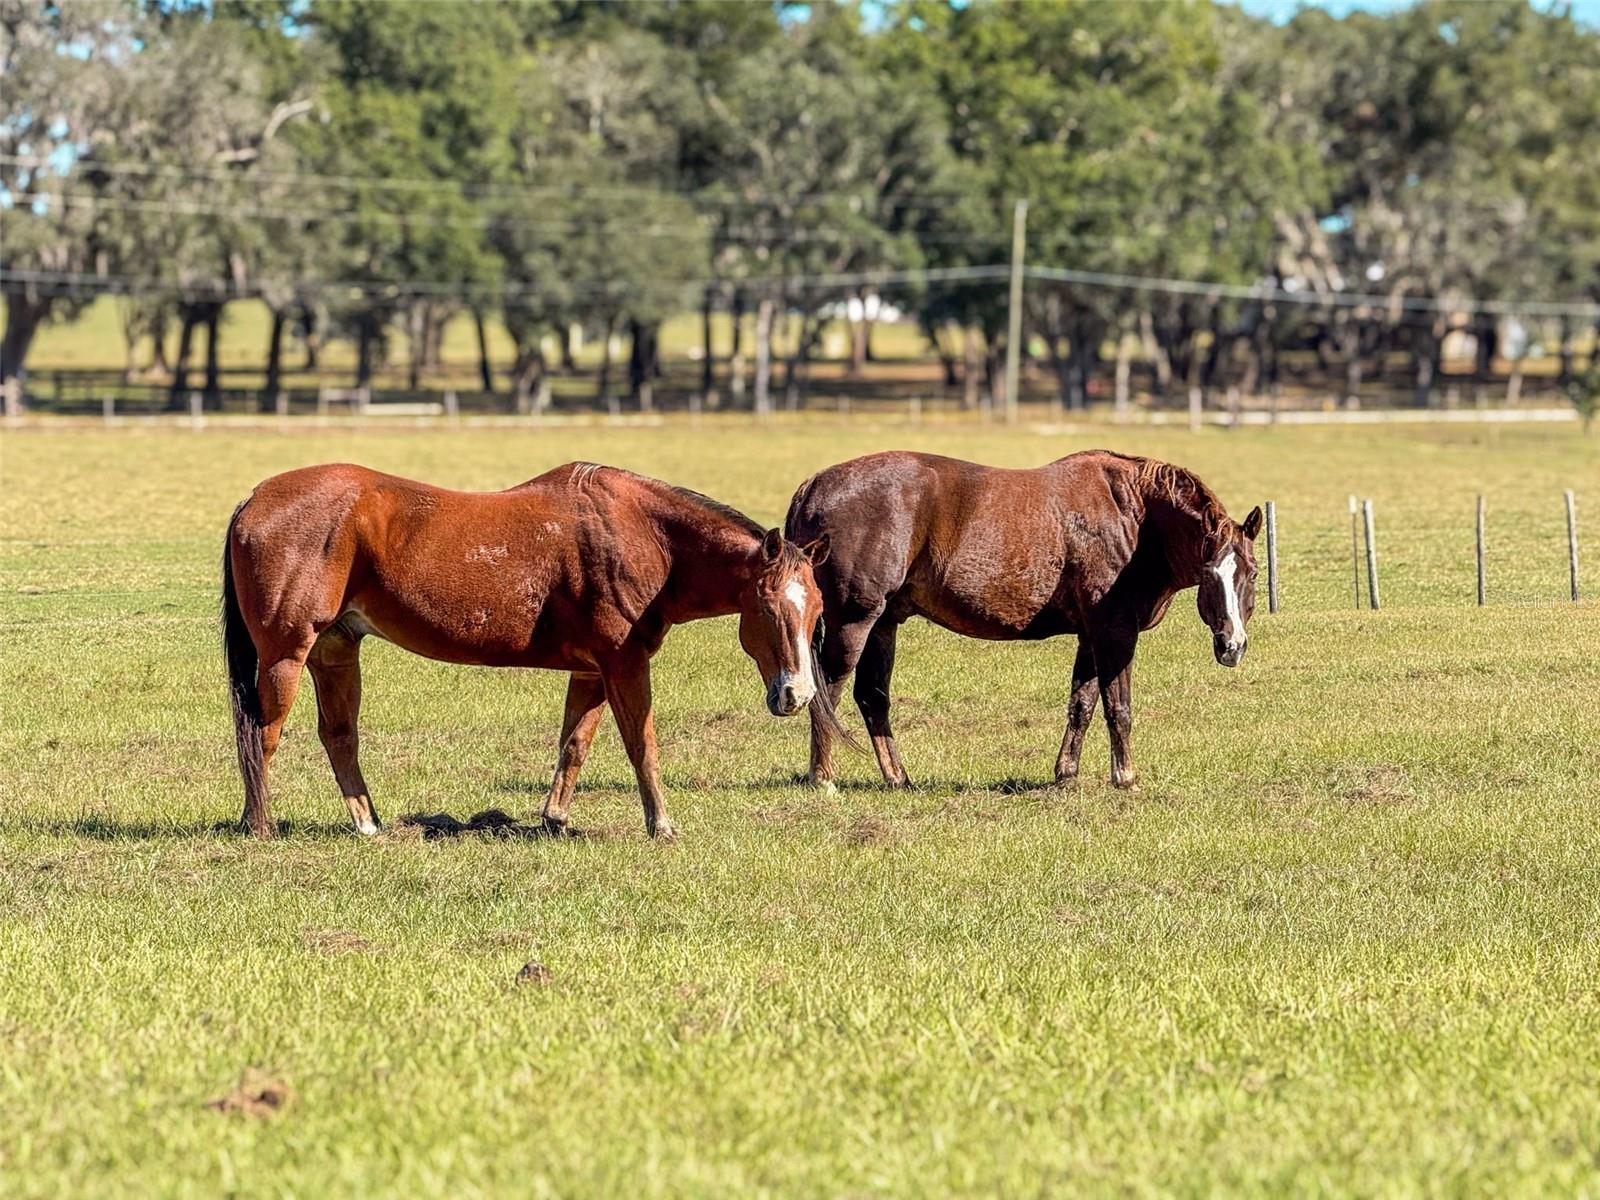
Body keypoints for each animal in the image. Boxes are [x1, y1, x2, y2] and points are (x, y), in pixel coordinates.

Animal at [224, 464, 838, 838]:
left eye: (815, 611)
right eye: (769, 610)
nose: (798, 694)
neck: (648, 536)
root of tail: (253, 498)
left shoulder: (593, 671)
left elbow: (575, 744)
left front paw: (555, 818)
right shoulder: (624, 662)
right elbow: (642, 743)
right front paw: (660, 823)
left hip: (334, 650)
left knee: (338, 737)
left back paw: (367, 823)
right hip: (285, 655)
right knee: (262, 735)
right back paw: (259, 826)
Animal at [787, 451, 1260, 790]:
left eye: (1252, 573)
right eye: (1209, 573)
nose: (1232, 646)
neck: (1134, 517)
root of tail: (814, 486)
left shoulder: (1091, 636)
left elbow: (1082, 705)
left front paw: (1066, 773)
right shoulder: (1116, 633)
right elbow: (1118, 707)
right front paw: (1125, 777)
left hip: (884, 624)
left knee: (872, 699)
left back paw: (897, 777)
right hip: (855, 622)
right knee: (827, 692)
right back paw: (822, 777)